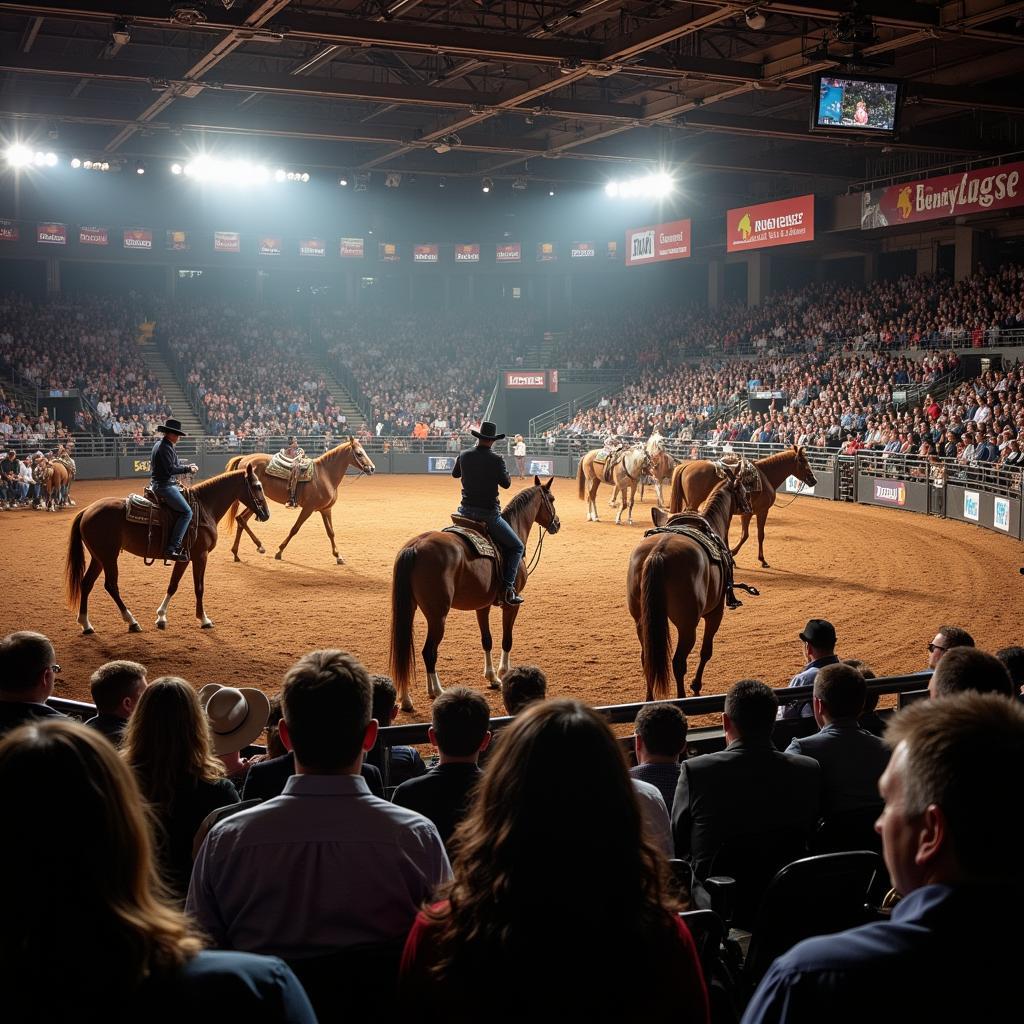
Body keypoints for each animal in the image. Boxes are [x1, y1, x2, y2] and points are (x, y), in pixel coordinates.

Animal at [62, 468, 272, 634]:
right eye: (258, 486)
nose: (267, 514)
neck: (205, 508)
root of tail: (87, 510)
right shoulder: (200, 556)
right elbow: (199, 587)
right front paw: (204, 619)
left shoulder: (184, 558)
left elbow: (173, 585)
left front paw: (161, 617)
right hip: (108, 557)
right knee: (111, 585)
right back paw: (132, 621)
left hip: (98, 557)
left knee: (86, 583)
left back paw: (86, 624)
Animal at [226, 438, 378, 569]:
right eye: (359, 453)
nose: (372, 468)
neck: (325, 475)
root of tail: (244, 459)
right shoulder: (308, 508)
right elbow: (295, 528)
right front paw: (279, 551)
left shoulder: (326, 509)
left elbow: (331, 532)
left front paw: (338, 556)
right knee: (241, 519)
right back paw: (258, 546)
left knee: (241, 519)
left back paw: (237, 553)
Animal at [387, 477, 561, 712]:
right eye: (551, 499)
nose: (557, 524)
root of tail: (414, 546)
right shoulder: (512, 604)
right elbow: (507, 639)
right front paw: (504, 672)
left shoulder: (483, 605)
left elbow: (486, 640)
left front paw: (492, 678)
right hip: (438, 615)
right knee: (428, 652)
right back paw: (437, 691)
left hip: (410, 609)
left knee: (406, 650)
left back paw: (406, 699)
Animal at [622, 466, 753, 700]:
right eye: (743, 489)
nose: (749, 507)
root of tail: (657, 553)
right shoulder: (715, 613)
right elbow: (706, 651)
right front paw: (696, 685)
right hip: (687, 625)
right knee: (678, 663)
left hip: (641, 619)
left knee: (647, 659)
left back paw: (649, 698)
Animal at [667, 442, 819, 569]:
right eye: (802, 461)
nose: (814, 480)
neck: (766, 476)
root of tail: (686, 465)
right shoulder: (762, 511)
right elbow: (759, 535)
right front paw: (762, 560)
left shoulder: (747, 513)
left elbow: (744, 535)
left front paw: (733, 554)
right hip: (693, 503)